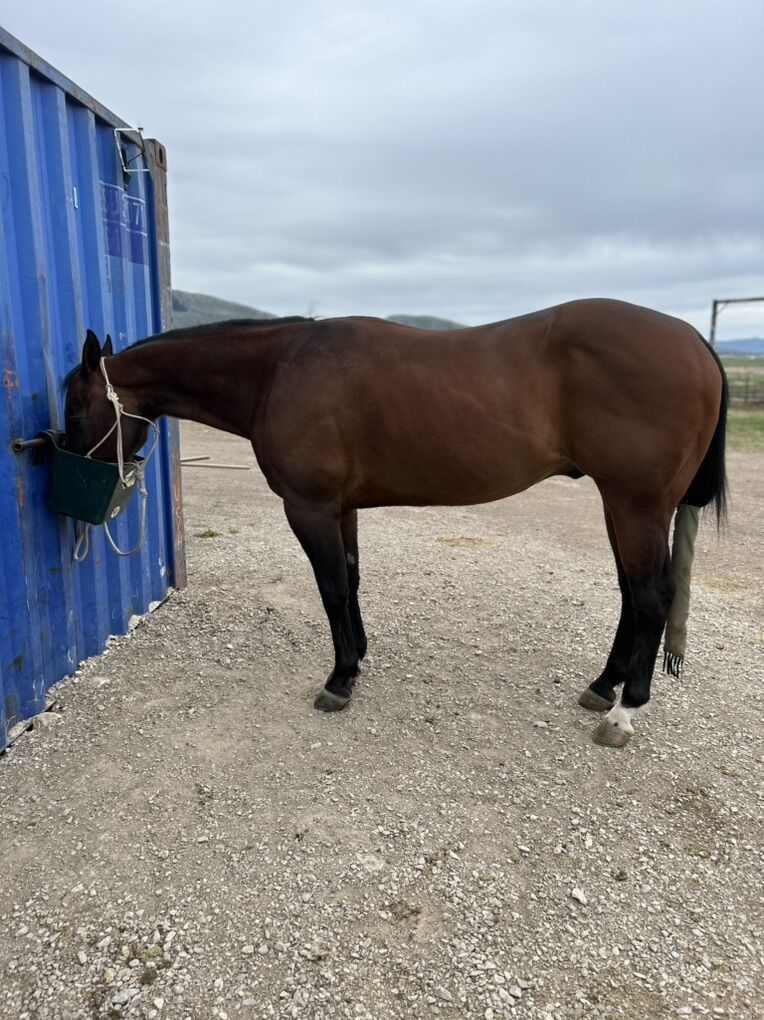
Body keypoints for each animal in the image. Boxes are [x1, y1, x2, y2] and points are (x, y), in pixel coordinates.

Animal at [63, 298, 727, 748]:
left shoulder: (309, 506)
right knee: (632, 595)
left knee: (651, 598)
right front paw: (357, 656)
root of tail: (692, 339)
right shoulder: (342, 508)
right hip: (625, 506)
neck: (278, 369)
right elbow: (351, 582)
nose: (63, 476)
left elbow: (331, 588)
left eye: (74, 406)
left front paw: (339, 680)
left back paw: (624, 713)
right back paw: (603, 687)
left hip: (636, 504)